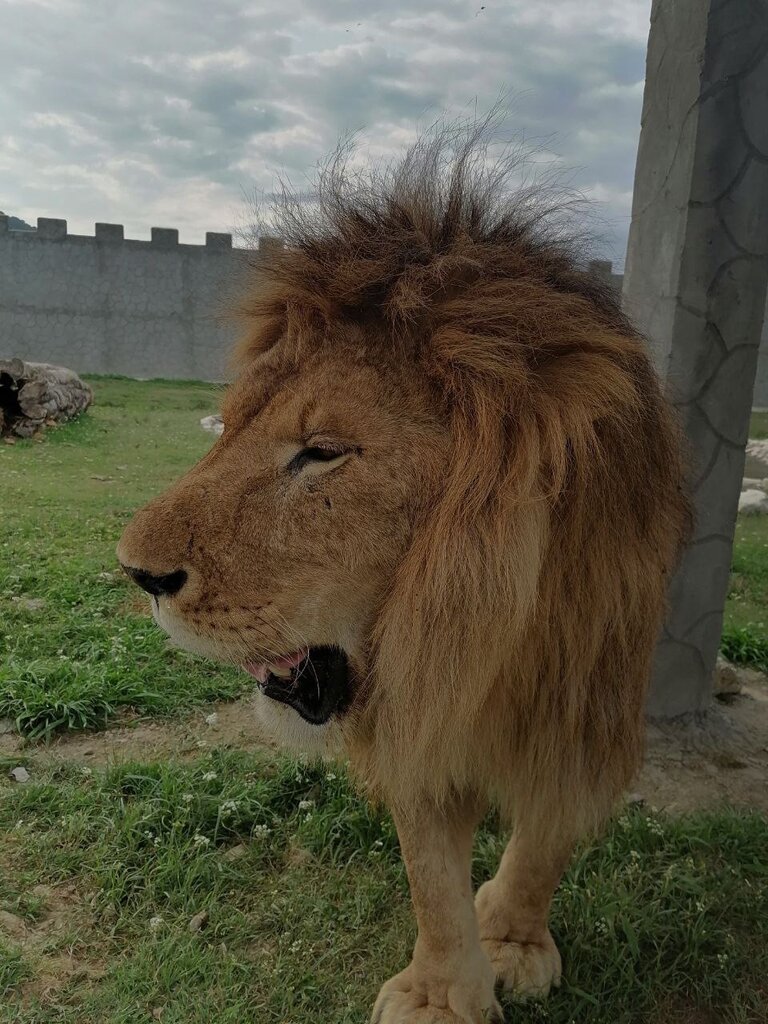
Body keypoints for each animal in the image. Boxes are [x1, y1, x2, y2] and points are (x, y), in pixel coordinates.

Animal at [117, 123, 696, 1019]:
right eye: (230, 422)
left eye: (322, 453)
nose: (137, 575)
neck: (480, 636)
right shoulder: (410, 709)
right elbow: (430, 873)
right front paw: (442, 995)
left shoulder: (584, 695)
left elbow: (547, 833)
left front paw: (512, 940)